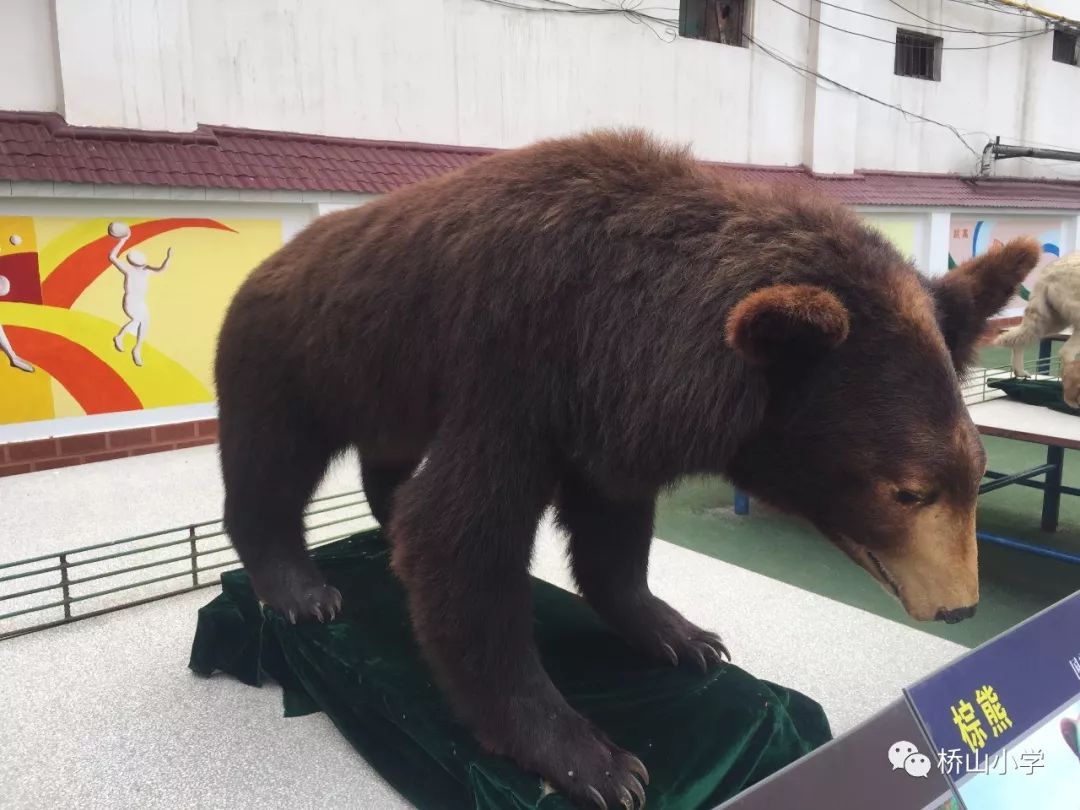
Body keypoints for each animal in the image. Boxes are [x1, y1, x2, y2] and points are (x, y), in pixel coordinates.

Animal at [212, 130, 1036, 807]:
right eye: (908, 490)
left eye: (973, 471)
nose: (960, 606)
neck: (624, 319)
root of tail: (261, 265)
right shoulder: (514, 370)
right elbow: (463, 540)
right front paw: (593, 760)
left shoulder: (607, 407)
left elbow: (611, 527)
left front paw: (685, 635)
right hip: (290, 359)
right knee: (270, 467)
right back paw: (300, 589)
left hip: (387, 385)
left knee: (385, 466)